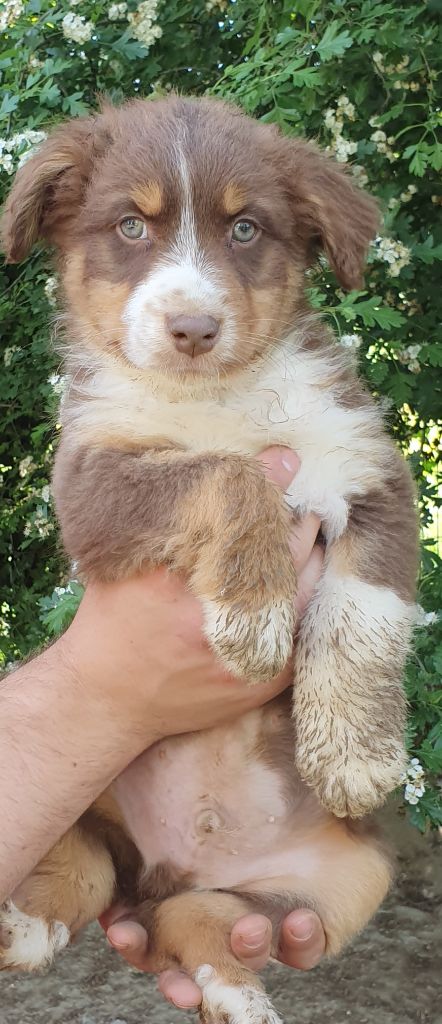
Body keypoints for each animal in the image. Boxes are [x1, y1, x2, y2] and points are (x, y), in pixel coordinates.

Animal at [0, 97, 417, 1024]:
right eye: (129, 225)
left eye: (246, 228)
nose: (193, 328)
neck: (218, 396)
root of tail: (168, 865)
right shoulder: (92, 486)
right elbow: (228, 476)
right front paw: (254, 621)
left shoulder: (369, 468)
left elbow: (364, 612)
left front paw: (355, 757)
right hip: (91, 788)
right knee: (83, 869)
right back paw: (20, 928)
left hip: (343, 880)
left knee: (197, 920)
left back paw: (238, 997)